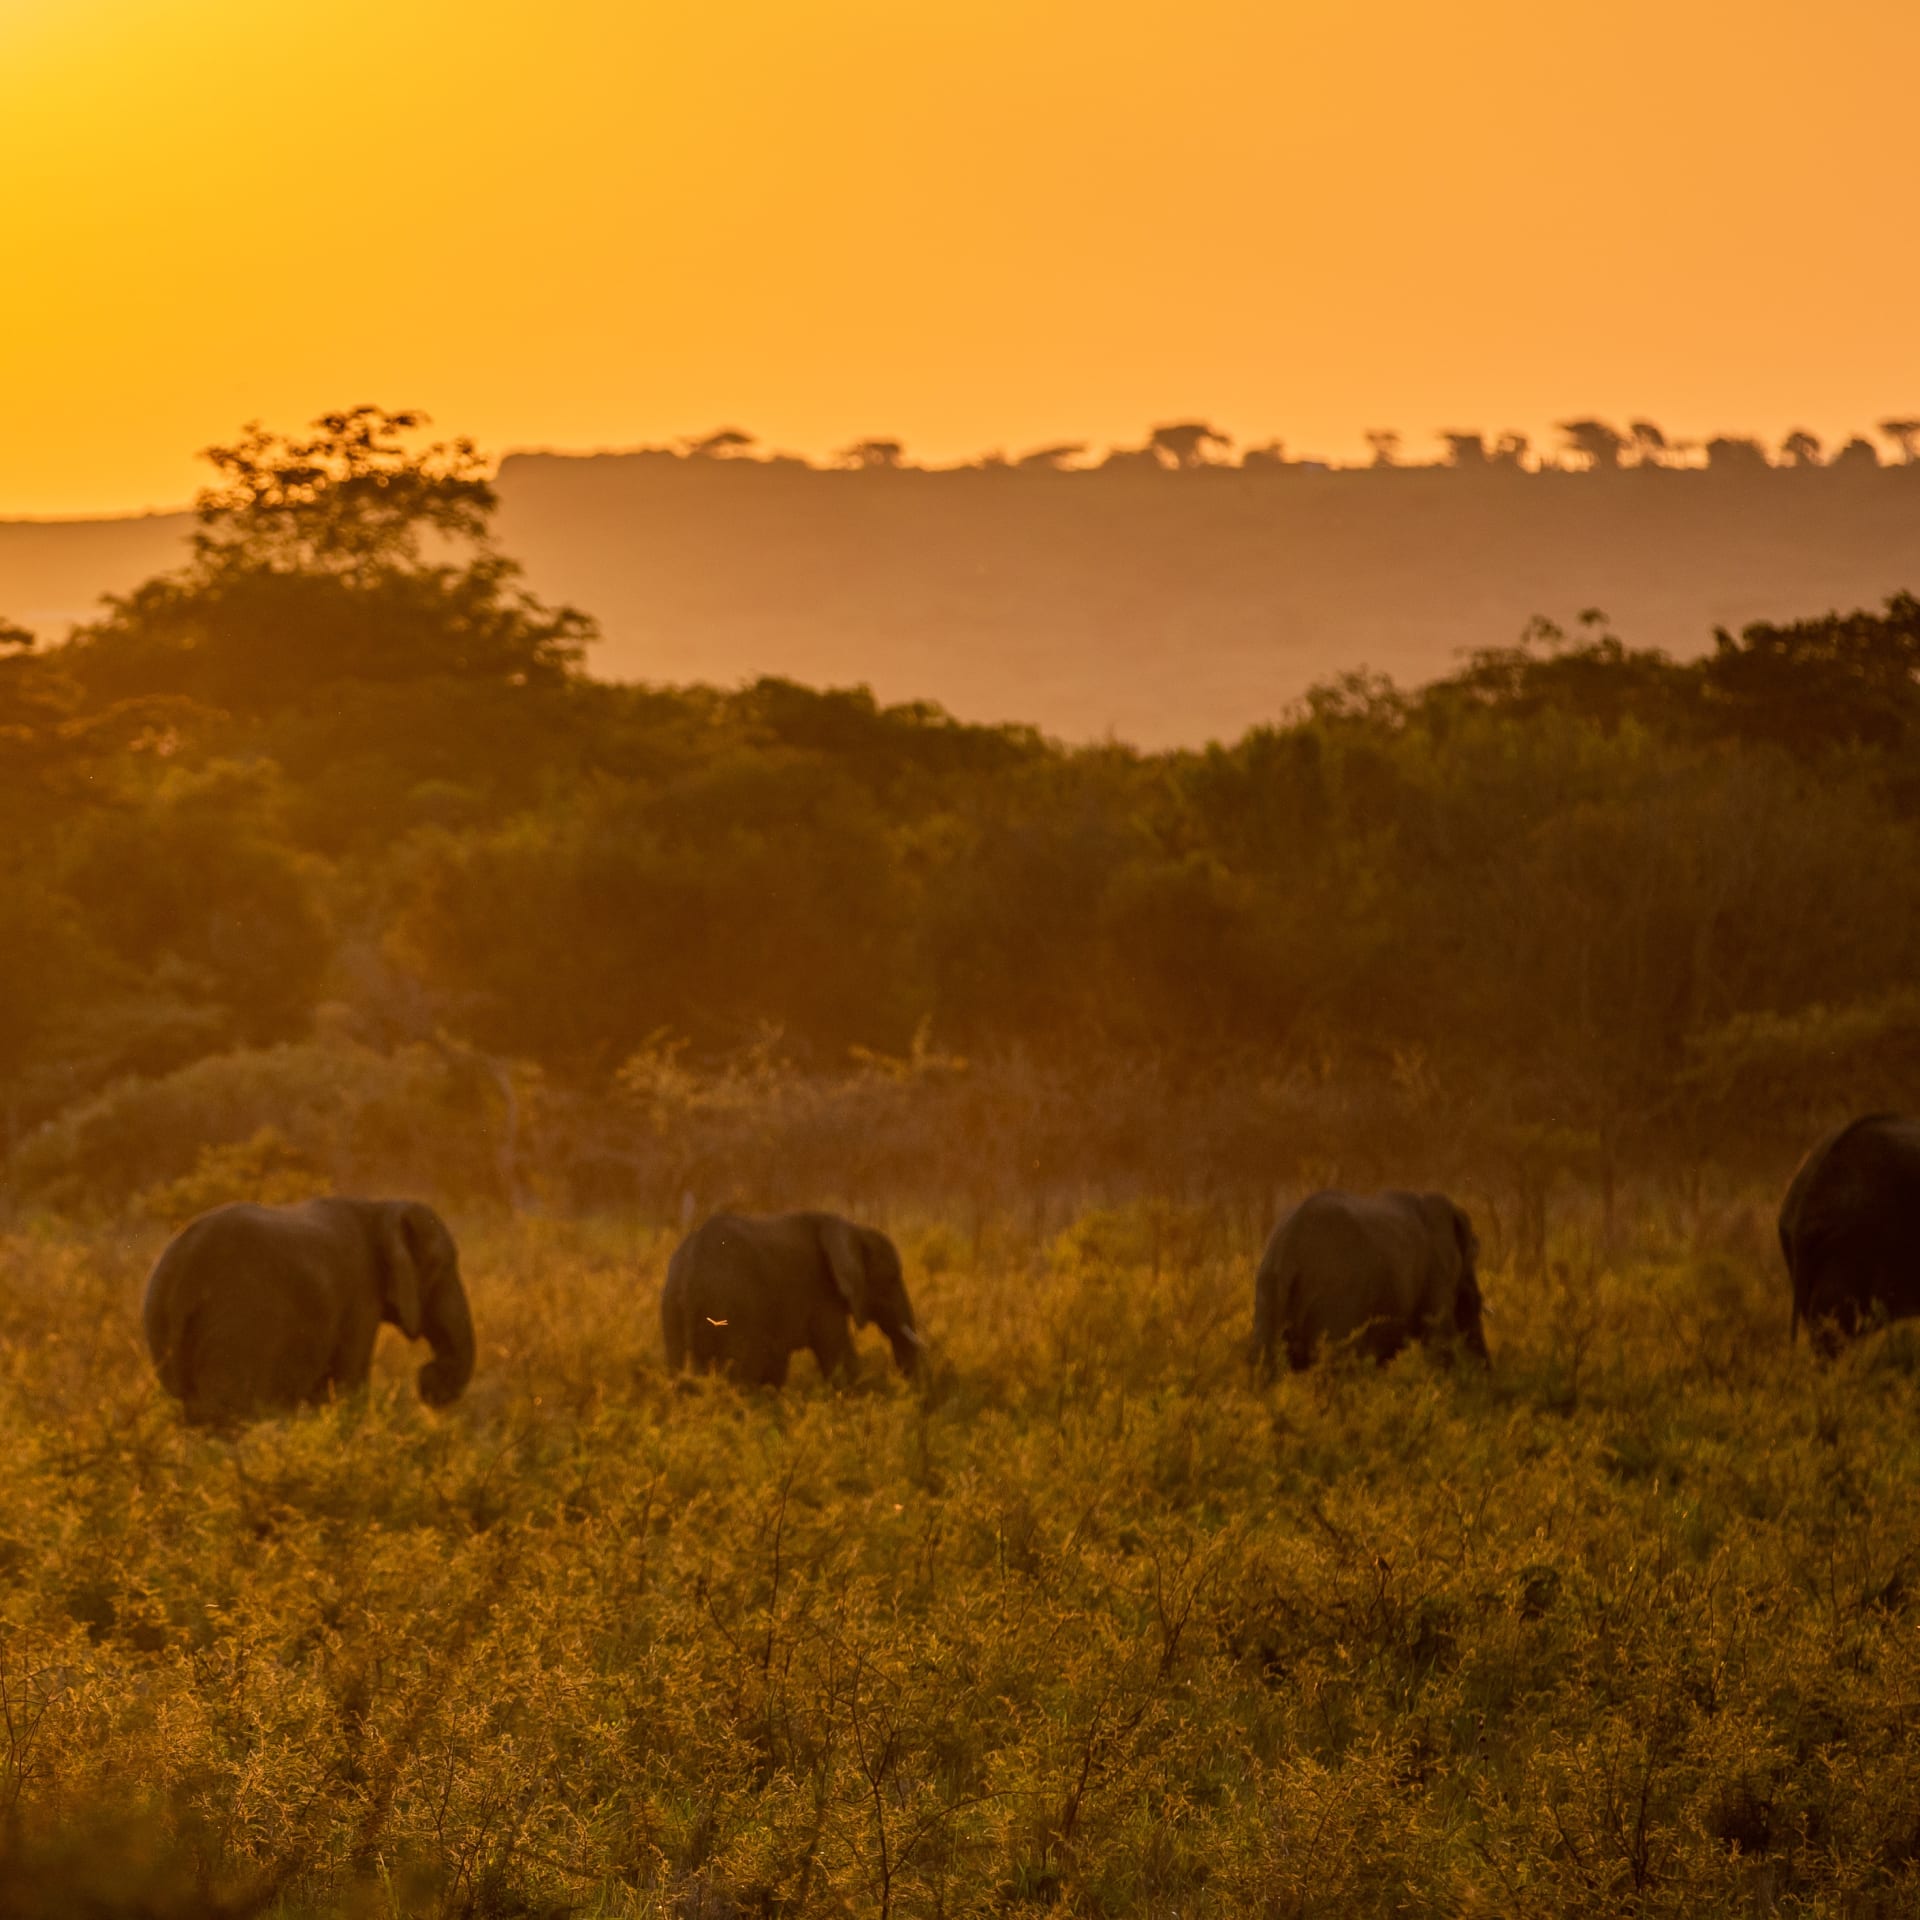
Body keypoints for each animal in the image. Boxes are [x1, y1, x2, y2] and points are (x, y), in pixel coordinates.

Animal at [143, 1197, 475, 1425]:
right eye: (444, 1266)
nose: (426, 1380)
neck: (378, 1208)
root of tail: (180, 1270)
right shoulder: (360, 1292)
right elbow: (344, 1384)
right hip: (232, 1324)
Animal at [662, 1210, 922, 1387]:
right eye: (891, 1279)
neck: (853, 1230)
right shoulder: (821, 1293)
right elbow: (839, 1357)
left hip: (673, 1308)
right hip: (733, 1306)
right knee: (743, 1371)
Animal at [1251, 1189, 1487, 1375]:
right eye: (1473, 1298)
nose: (1485, 1370)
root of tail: (1288, 1249)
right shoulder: (1436, 1271)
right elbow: (1439, 1338)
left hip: (1268, 1290)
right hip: (1336, 1296)